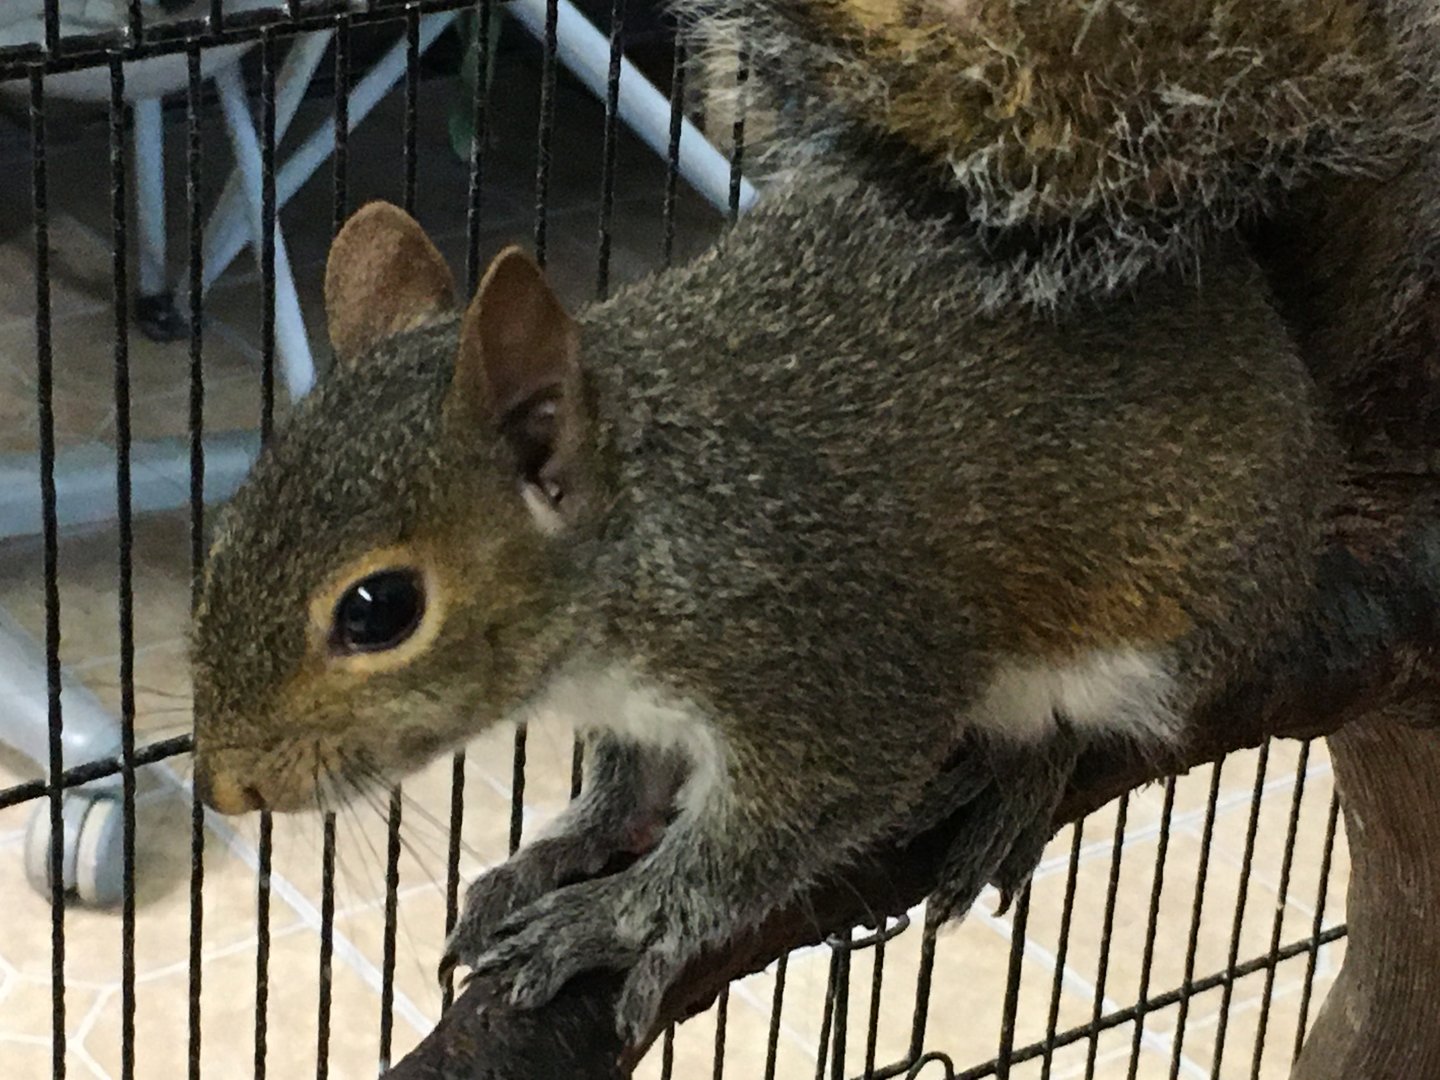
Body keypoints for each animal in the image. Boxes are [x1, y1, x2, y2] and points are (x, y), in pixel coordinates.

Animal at [187, 0, 1427, 1047]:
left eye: (378, 609)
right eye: (227, 530)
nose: (223, 789)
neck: (648, 535)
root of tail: (1284, 349)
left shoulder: (825, 670)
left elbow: (762, 843)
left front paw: (623, 918)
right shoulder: (637, 707)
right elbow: (625, 787)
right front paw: (562, 852)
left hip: (1159, 633)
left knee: (1098, 723)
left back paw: (1012, 784)